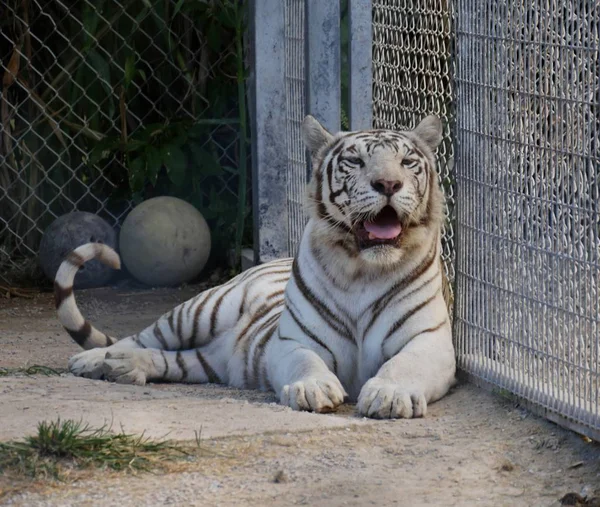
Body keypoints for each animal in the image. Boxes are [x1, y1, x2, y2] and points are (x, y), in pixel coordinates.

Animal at [55, 116, 454, 420]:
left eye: (407, 162)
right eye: (355, 161)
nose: (388, 183)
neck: (363, 269)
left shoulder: (430, 340)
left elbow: (403, 365)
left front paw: (390, 395)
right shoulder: (293, 341)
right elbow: (306, 362)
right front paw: (313, 388)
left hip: (210, 359)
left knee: (172, 358)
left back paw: (123, 366)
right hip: (200, 311)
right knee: (141, 337)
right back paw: (94, 360)